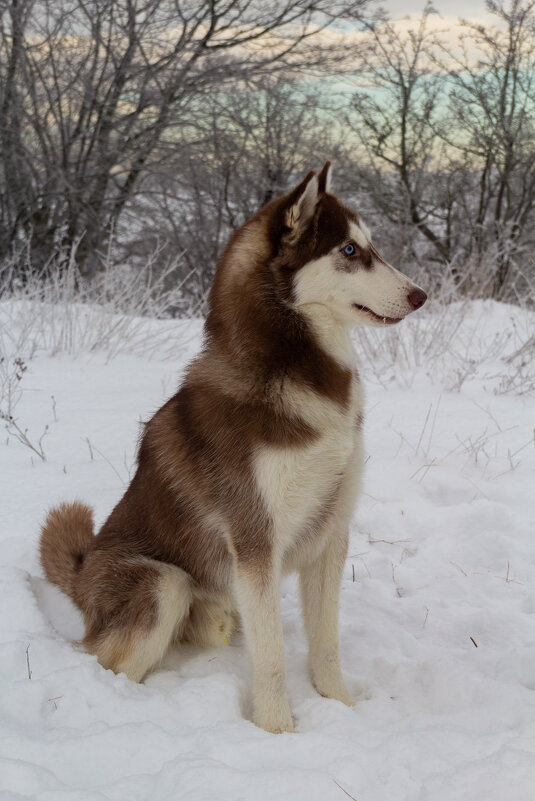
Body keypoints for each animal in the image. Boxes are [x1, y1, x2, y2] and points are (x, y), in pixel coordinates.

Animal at [40, 166, 428, 736]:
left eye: (369, 246)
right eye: (350, 250)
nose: (421, 294)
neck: (297, 371)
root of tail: (83, 571)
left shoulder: (332, 531)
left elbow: (326, 644)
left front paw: (341, 707)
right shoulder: (253, 540)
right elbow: (272, 658)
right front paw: (277, 730)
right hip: (163, 583)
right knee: (105, 660)